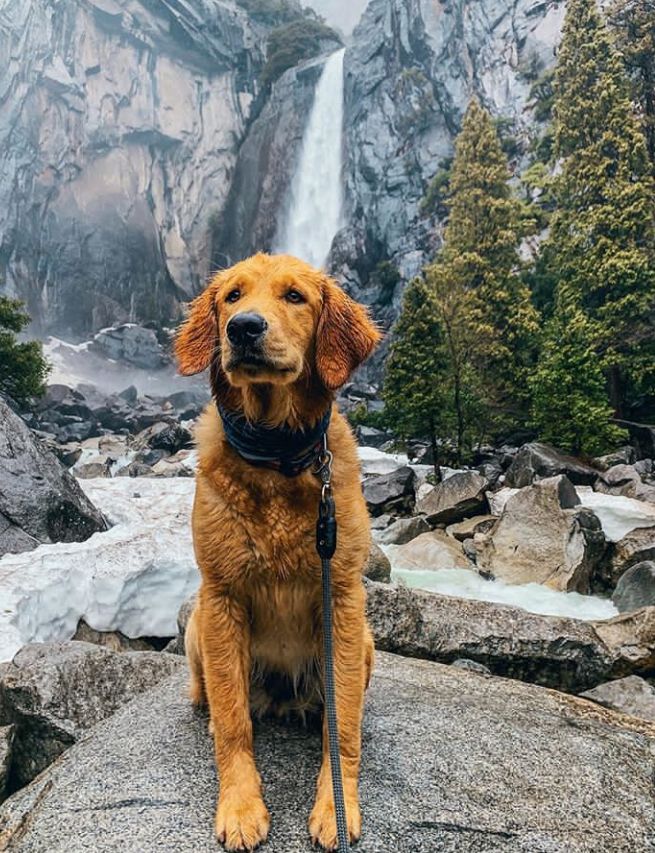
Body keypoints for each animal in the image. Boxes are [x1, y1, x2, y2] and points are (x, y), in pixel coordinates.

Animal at [176, 255, 380, 852]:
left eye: (294, 296)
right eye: (232, 296)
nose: (243, 328)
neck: (277, 457)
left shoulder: (343, 598)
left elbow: (344, 726)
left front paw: (336, 805)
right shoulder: (222, 596)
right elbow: (233, 719)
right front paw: (241, 805)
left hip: (365, 642)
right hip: (198, 625)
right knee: (214, 696)